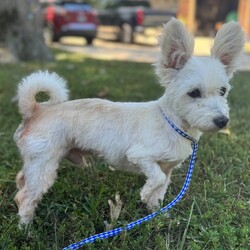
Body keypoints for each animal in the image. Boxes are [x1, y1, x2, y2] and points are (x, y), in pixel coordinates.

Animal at [13, 17, 244, 225]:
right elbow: (156, 180)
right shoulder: (141, 156)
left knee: (20, 184)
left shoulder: (167, 169)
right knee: (26, 196)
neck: (173, 125)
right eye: (194, 93)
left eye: (223, 91)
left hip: (36, 163)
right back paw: (26, 228)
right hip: (44, 164)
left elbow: (160, 192)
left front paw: (156, 215)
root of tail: (36, 110)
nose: (222, 121)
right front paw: (145, 194)